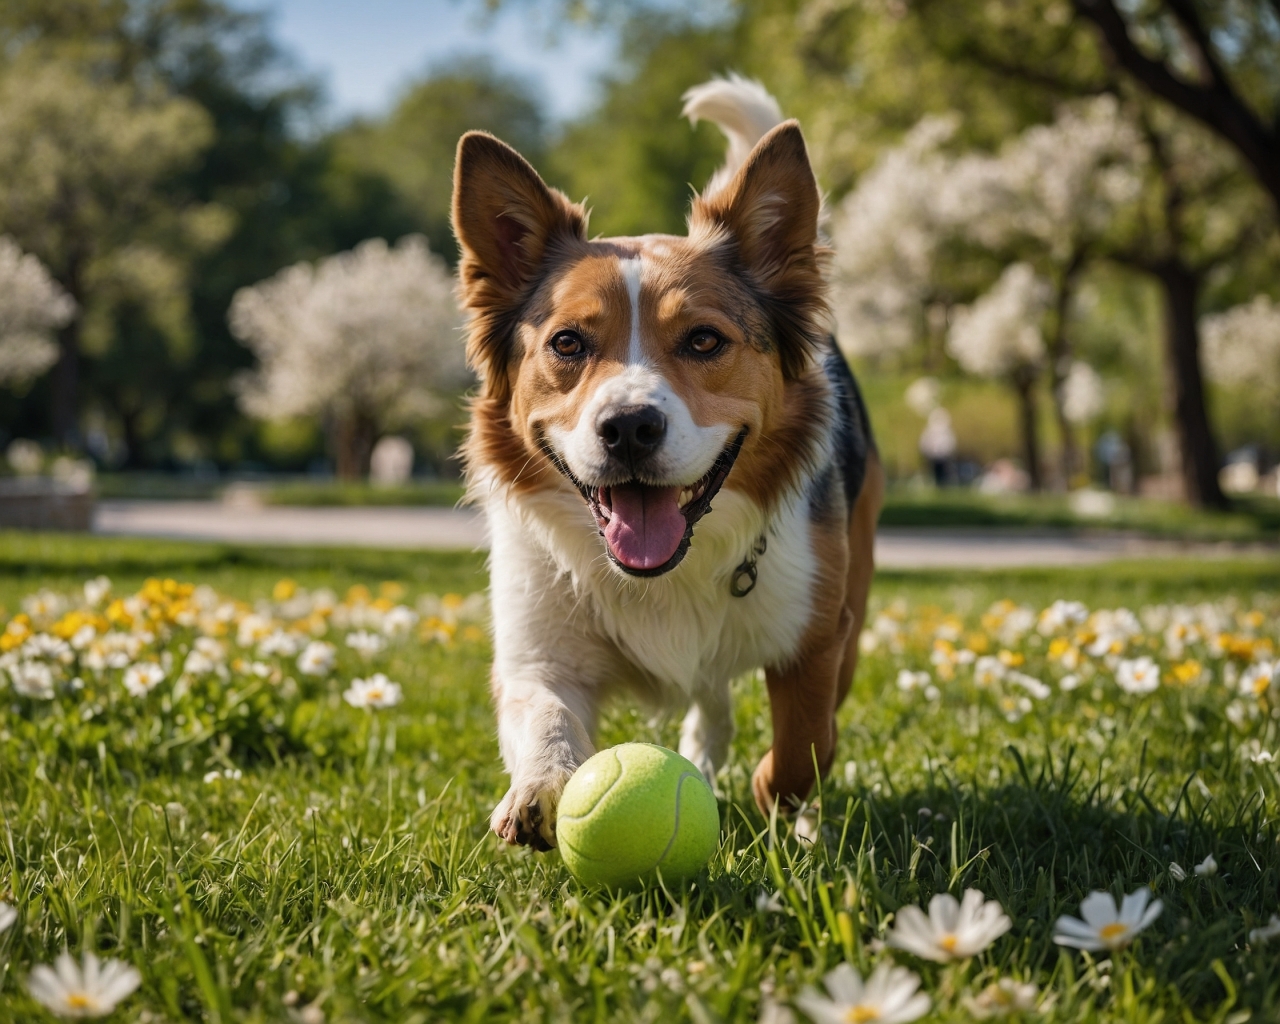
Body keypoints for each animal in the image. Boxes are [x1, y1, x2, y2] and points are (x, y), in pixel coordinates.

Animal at [448, 78, 880, 849]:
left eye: (704, 340)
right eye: (566, 343)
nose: (627, 428)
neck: (663, 573)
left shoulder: (816, 637)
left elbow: (806, 745)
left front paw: (777, 802)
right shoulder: (537, 653)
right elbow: (545, 713)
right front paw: (541, 789)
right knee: (708, 697)